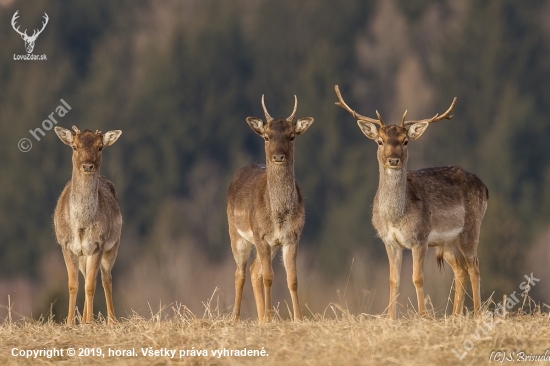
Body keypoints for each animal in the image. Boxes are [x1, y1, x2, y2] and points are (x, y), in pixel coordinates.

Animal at [54, 126, 123, 326]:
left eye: (100, 147)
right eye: (74, 146)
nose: (87, 166)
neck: (81, 226)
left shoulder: (98, 244)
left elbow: (91, 286)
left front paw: (90, 322)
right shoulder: (66, 244)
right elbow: (73, 285)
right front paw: (70, 322)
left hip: (113, 245)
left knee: (106, 278)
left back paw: (111, 320)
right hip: (83, 254)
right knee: (86, 278)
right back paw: (83, 319)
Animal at [229, 95, 314, 324]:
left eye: (292, 136)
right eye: (267, 137)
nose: (278, 156)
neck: (278, 215)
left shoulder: (292, 236)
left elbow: (292, 279)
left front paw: (298, 318)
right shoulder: (260, 234)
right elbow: (269, 277)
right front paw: (269, 317)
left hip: (271, 245)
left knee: (253, 270)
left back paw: (259, 317)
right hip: (236, 234)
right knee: (240, 272)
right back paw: (235, 318)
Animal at [334, 84, 490, 318]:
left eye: (405, 141)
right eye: (380, 141)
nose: (393, 159)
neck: (395, 217)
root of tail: (485, 188)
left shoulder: (420, 238)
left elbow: (417, 278)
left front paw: (422, 317)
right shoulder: (389, 240)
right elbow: (393, 280)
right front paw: (390, 319)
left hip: (471, 228)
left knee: (475, 266)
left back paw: (478, 314)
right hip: (447, 242)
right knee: (461, 269)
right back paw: (455, 315)